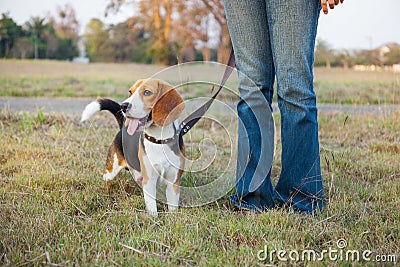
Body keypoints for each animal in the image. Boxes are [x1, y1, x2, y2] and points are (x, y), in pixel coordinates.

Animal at [82, 79, 188, 216]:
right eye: (130, 92)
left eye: (147, 92)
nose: (123, 106)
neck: (158, 140)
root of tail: (123, 127)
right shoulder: (149, 181)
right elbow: (152, 208)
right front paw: (153, 219)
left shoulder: (173, 183)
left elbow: (173, 207)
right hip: (111, 170)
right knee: (106, 178)